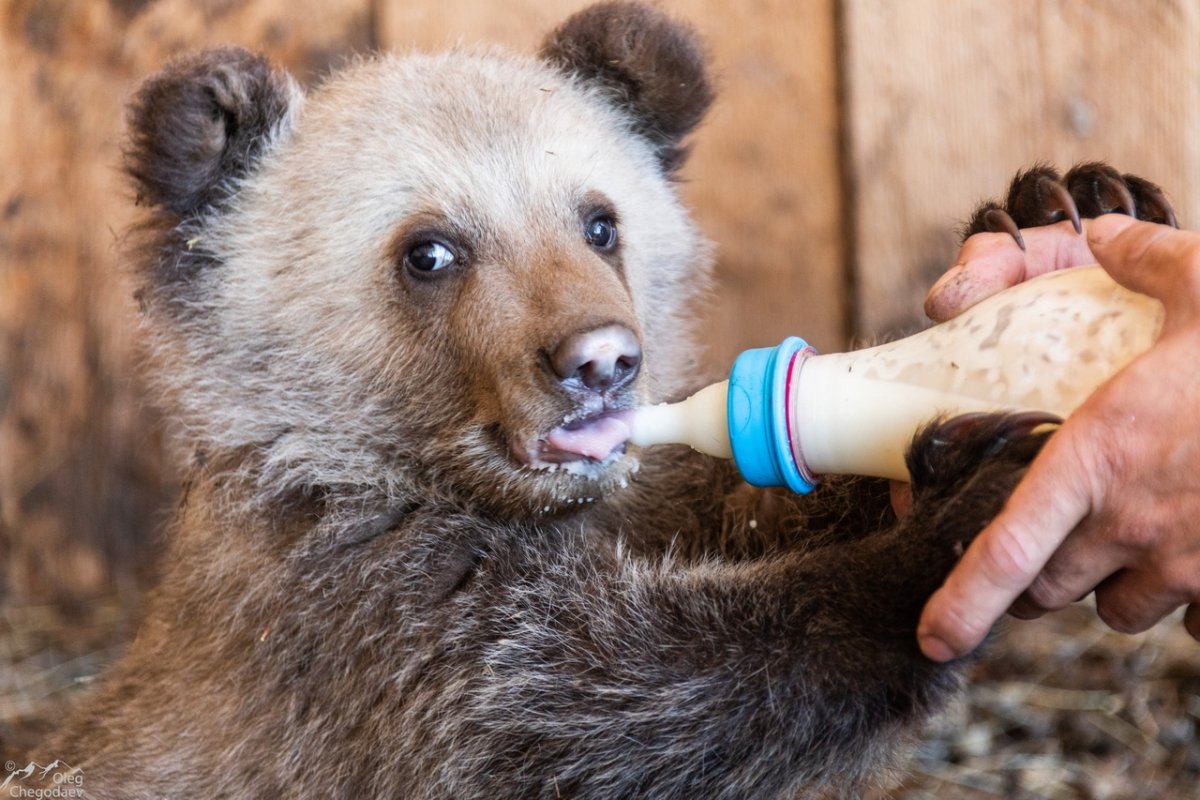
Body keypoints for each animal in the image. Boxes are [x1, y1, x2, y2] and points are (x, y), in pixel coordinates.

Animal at [27, 3, 1172, 798]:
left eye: (599, 220)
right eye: (428, 249)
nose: (600, 360)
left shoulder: (648, 502)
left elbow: (751, 501)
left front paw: (1066, 205)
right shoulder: (355, 624)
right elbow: (608, 696)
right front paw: (962, 509)